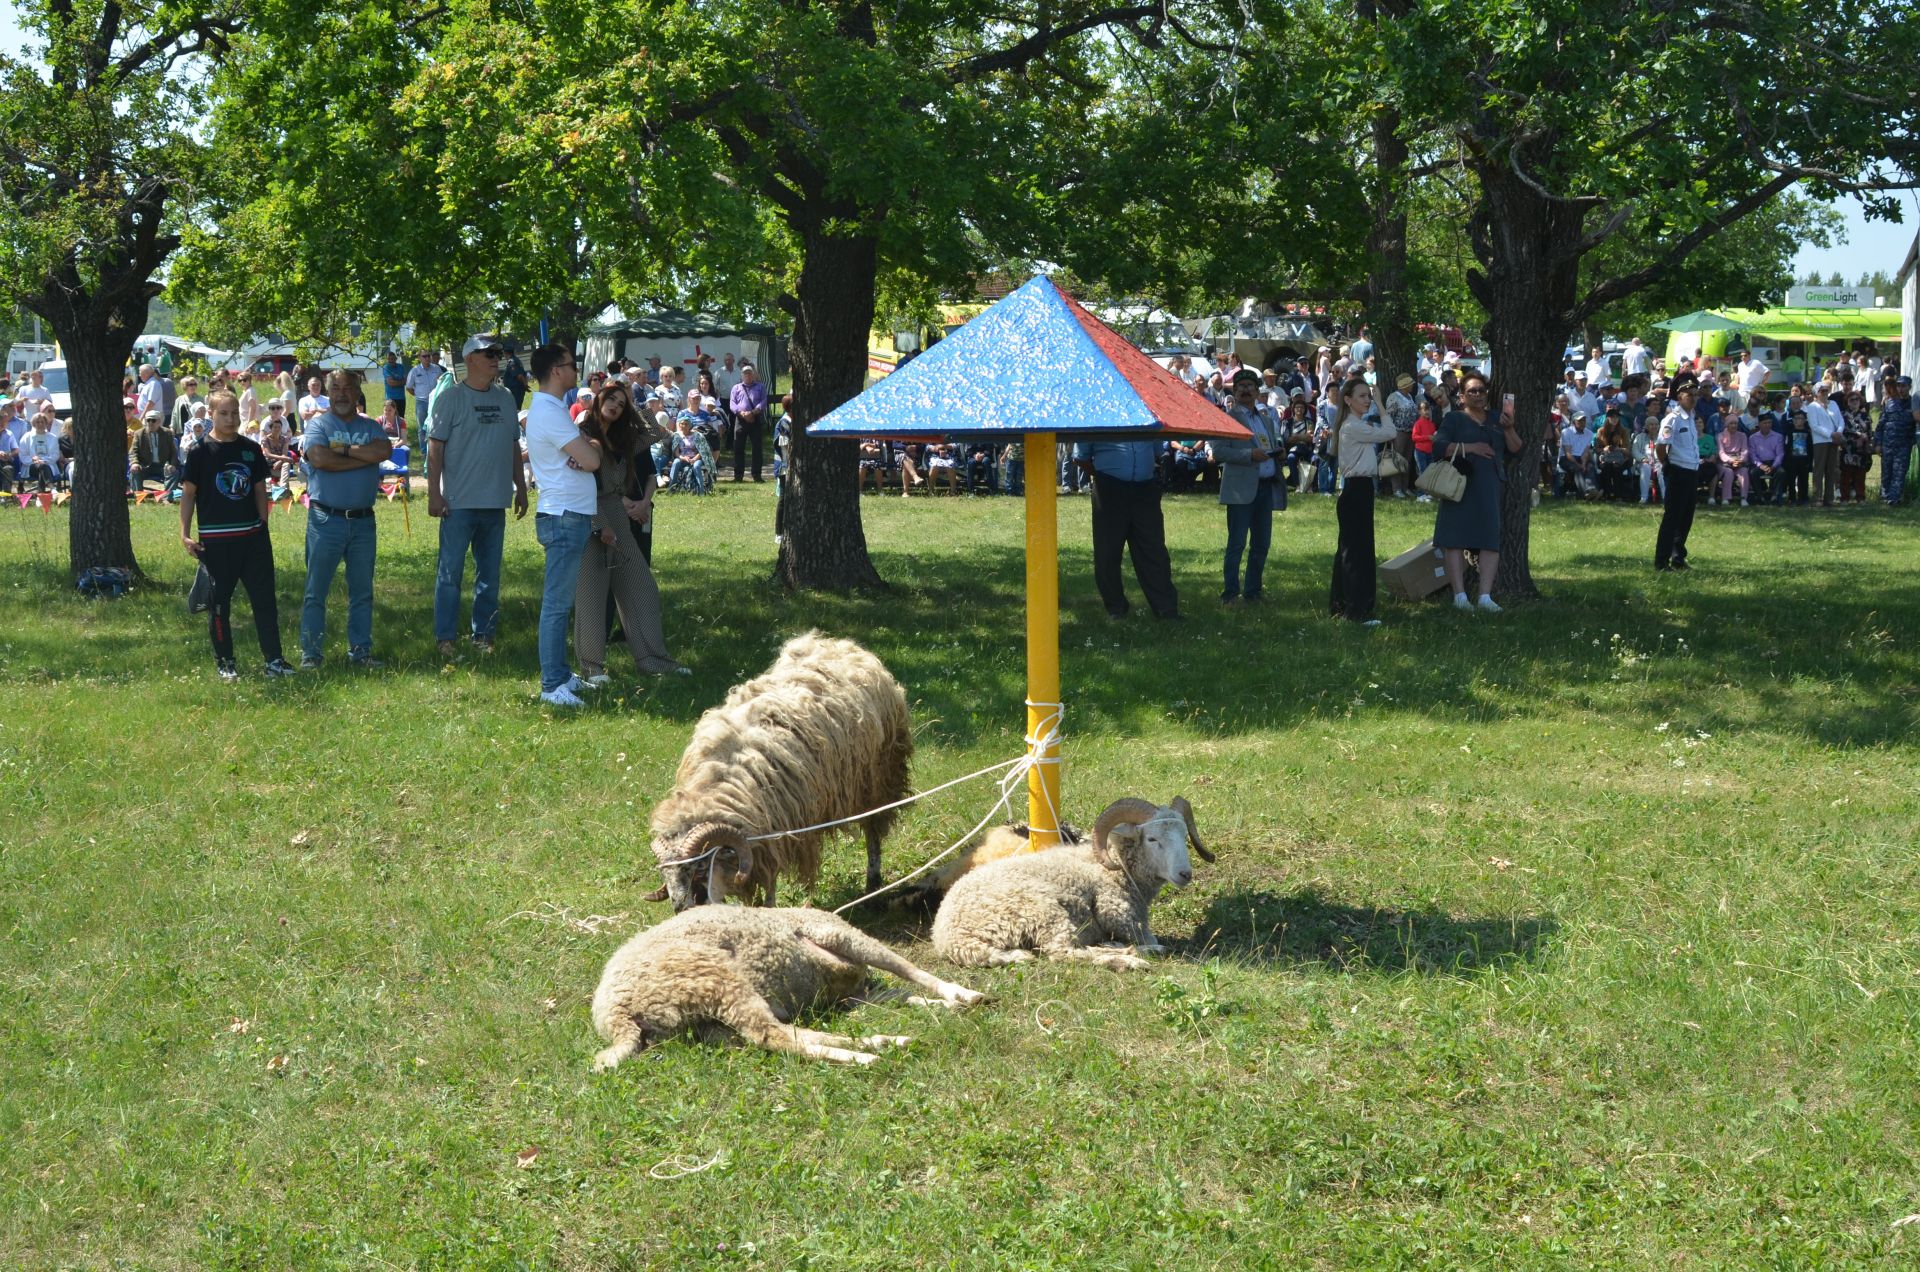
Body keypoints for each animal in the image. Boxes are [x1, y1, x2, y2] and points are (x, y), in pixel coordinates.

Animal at [587, 906, 983, 1076]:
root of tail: (616, 1013)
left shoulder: (853, 994)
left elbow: (901, 993)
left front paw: (938, 1004)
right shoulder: (838, 935)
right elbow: (907, 968)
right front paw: (962, 995)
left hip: (705, 1025)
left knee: (786, 1035)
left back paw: (881, 1042)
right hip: (714, 979)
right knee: (772, 1036)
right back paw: (865, 1057)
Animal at [648, 634, 910, 910]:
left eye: (699, 867)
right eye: (665, 874)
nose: (679, 908)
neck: (718, 780)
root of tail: (839, 644)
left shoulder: (775, 833)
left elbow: (770, 880)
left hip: (878, 780)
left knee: (873, 831)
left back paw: (873, 882)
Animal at [925, 799, 1198, 976]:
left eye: (1185, 836)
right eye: (1152, 839)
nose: (1185, 874)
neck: (1112, 865)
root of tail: (949, 938)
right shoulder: (1118, 913)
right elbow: (1149, 936)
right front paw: (1143, 947)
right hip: (1041, 910)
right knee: (1063, 952)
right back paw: (1130, 958)